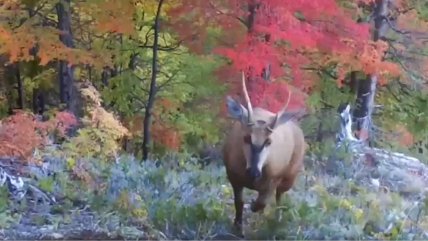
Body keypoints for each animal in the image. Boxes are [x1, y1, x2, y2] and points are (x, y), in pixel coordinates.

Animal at [222, 70, 306, 234]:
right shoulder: (232, 175)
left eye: (269, 141)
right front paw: (238, 226)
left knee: (280, 197)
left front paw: (253, 207)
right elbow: (239, 202)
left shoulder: (274, 178)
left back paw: (277, 219)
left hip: (290, 176)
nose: (254, 172)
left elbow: (261, 202)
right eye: (246, 137)